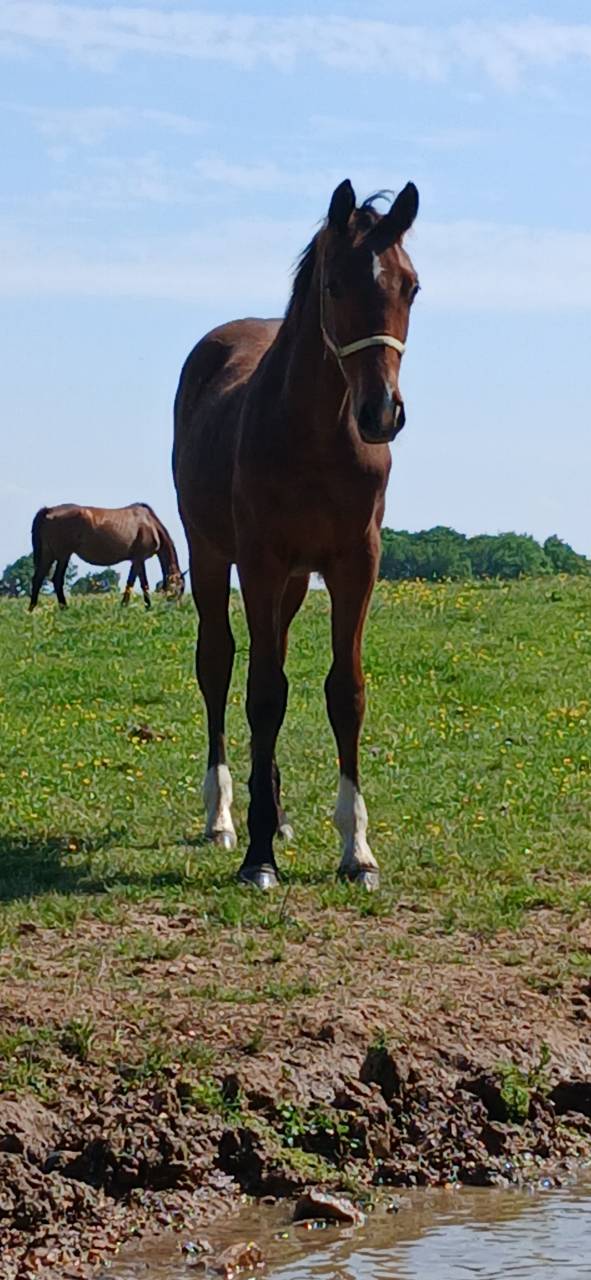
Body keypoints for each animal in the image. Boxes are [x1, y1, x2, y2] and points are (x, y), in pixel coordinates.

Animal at [29, 502, 184, 610]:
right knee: (57, 579)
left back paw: (32, 609)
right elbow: (134, 583)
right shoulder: (138, 559)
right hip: (63, 555)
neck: (150, 524)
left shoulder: (138, 560)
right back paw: (64, 608)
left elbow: (140, 583)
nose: (174, 609)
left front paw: (145, 606)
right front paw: (128, 605)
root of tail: (49, 510)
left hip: (49, 554)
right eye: (180, 588)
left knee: (38, 578)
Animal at [173, 177, 420, 890]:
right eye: (334, 285)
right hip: (210, 554)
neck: (315, 437)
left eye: (410, 286)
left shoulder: (354, 562)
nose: (381, 413)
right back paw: (224, 817)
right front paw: (258, 855)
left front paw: (356, 850)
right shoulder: (258, 560)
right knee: (220, 665)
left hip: (291, 582)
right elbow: (262, 692)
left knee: (273, 655)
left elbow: (344, 692)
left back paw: (278, 812)